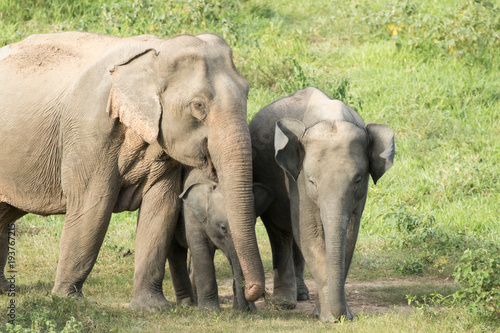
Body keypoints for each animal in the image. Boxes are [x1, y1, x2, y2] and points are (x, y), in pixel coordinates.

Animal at [168, 169, 272, 312]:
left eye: (253, 224)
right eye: (223, 228)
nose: (246, 310)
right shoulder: (191, 215)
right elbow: (201, 251)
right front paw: (210, 311)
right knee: (176, 252)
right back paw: (188, 303)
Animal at [250, 87, 394, 320]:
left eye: (358, 180)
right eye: (312, 181)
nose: (345, 315)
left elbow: (349, 234)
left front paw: (337, 315)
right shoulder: (297, 180)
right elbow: (310, 231)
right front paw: (328, 318)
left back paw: (302, 296)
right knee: (280, 232)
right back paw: (285, 303)